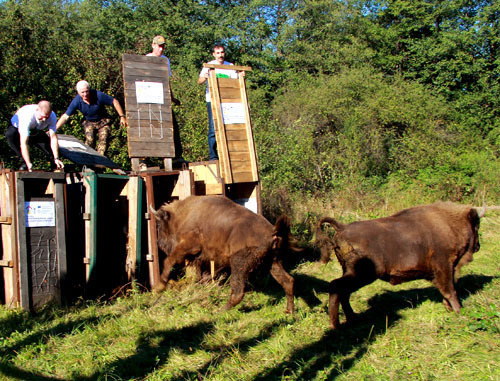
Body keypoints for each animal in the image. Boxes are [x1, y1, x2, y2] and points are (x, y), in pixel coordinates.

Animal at [150, 196, 294, 312]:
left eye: (159, 224)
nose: (159, 243)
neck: (184, 214)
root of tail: (273, 232)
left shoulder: (188, 246)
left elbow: (168, 261)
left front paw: (159, 287)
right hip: (273, 262)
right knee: (288, 281)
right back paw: (289, 311)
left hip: (239, 264)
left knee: (238, 292)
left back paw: (220, 311)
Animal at [316, 200, 484, 328]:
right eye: (476, 224)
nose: (478, 246)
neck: (448, 223)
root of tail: (342, 227)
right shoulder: (444, 266)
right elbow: (450, 290)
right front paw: (459, 311)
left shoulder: (449, 269)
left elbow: (449, 288)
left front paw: (450, 308)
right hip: (361, 275)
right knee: (336, 286)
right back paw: (336, 325)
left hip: (351, 273)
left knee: (343, 292)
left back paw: (352, 319)